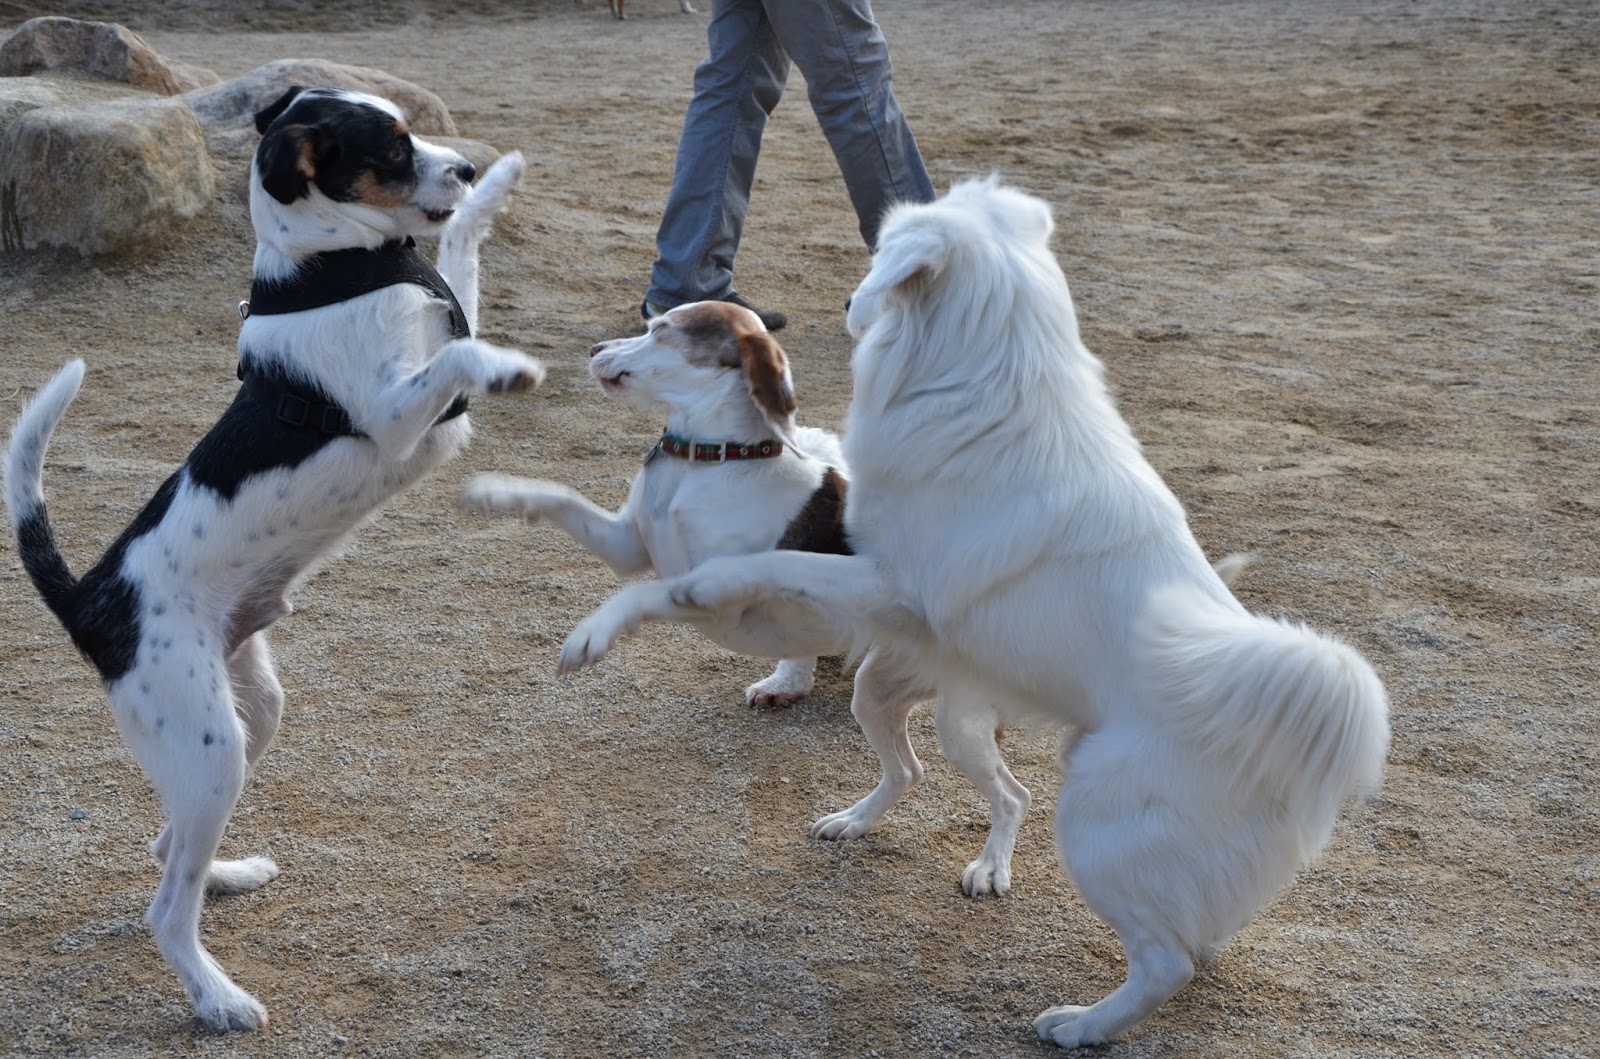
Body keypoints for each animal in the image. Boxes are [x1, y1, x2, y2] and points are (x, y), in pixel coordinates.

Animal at [1, 87, 544, 1030]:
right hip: (209, 742)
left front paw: (498, 186)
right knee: (164, 907)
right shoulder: (401, 414)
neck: (329, 264)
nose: (466, 164)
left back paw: (225, 873)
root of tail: (90, 598)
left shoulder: (440, 328)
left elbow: (461, 253)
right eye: (393, 147)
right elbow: (470, 347)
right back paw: (217, 996)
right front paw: (510, 361)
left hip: (247, 715)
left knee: (168, 842)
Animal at [464, 299, 857, 710]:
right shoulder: (624, 546)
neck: (706, 459)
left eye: (663, 330)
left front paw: (591, 633)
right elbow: (560, 495)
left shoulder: (718, 601)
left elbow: (639, 593)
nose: (595, 349)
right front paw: (494, 491)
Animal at [553, 178, 1388, 1049]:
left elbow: (753, 565)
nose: (849, 301)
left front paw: (640, 610)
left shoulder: (886, 581)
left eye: (883, 256)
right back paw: (863, 822)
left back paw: (1079, 1019)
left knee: (1156, 952)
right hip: (902, 699)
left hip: (1093, 821)